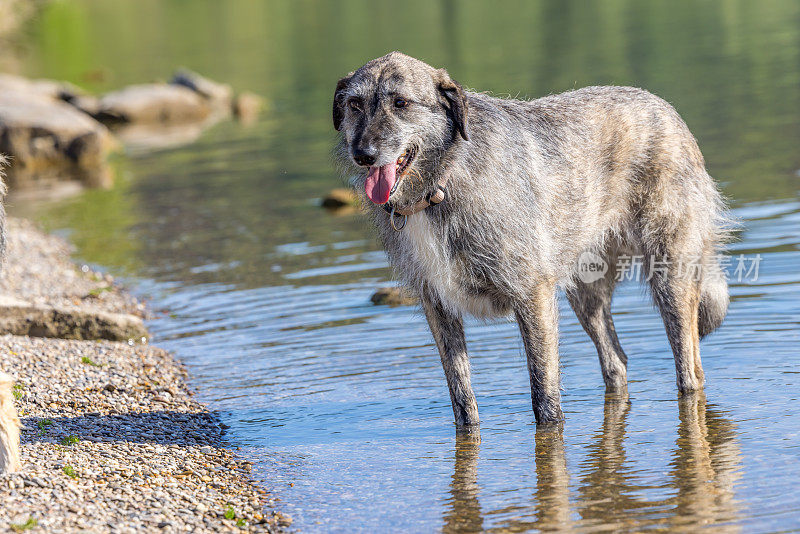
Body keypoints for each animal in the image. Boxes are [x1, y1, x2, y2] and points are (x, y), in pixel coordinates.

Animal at [332, 51, 732, 428]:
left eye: (401, 102)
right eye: (354, 104)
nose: (363, 154)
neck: (440, 185)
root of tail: (666, 108)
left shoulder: (532, 296)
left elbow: (544, 398)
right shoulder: (439, 308)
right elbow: (462, 399)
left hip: (671, 279)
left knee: (690, 372)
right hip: (586, 294)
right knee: (616, 362)